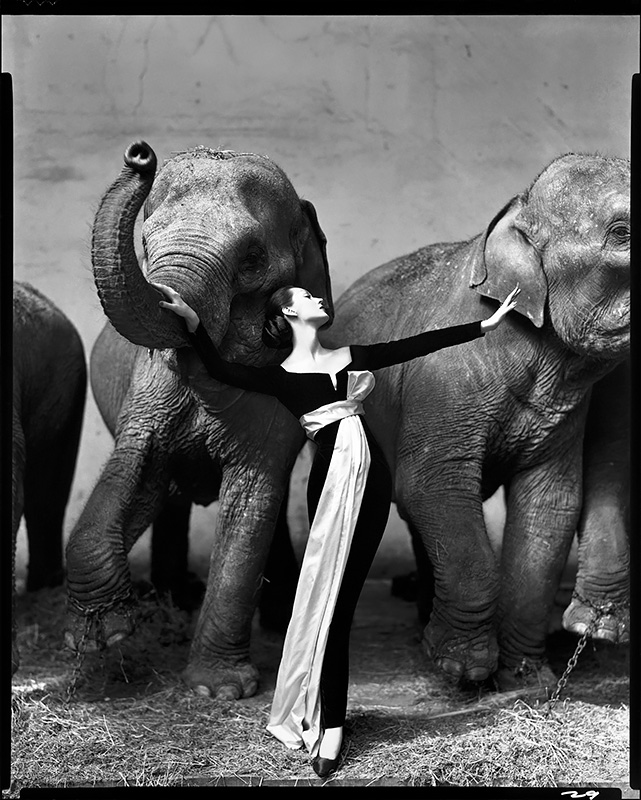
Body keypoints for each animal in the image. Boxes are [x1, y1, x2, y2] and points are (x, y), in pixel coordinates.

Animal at [63, 141, 336, 696]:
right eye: (145, 242)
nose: (140, 155)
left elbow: (254, 496)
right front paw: (104, 636)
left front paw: (216, 690)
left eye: (252, 259)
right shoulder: (148, 388)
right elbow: (135, 467)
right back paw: (173, 599)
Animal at [322, 155, 628, 688]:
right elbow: (432, 484)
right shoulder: (442, 382)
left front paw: (527, 679)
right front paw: (460, 669)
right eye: (623, 232)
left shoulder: (566, 412)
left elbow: (550, 504)